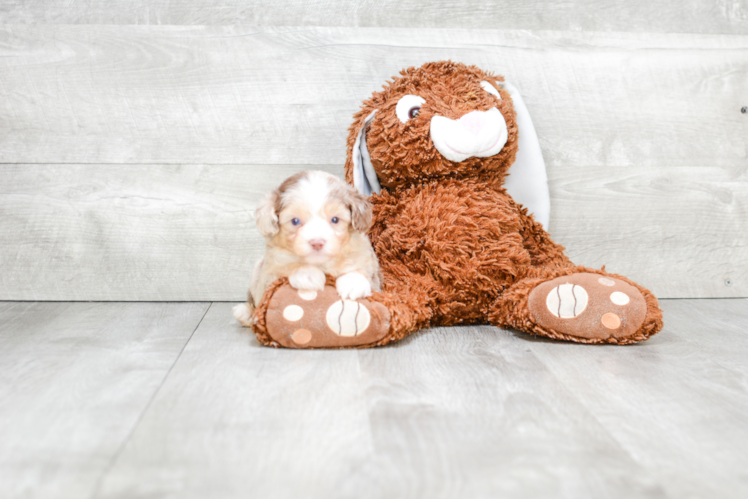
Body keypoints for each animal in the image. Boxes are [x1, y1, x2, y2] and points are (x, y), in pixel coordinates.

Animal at [234, 171, 382, 328]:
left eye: (335, 220)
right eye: (295, 221)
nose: (317, 242)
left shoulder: (371, 268)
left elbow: (359, 266)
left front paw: (353, 282)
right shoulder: (268, 274)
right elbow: (285, 266)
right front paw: (307, 274)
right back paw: (245, 313)